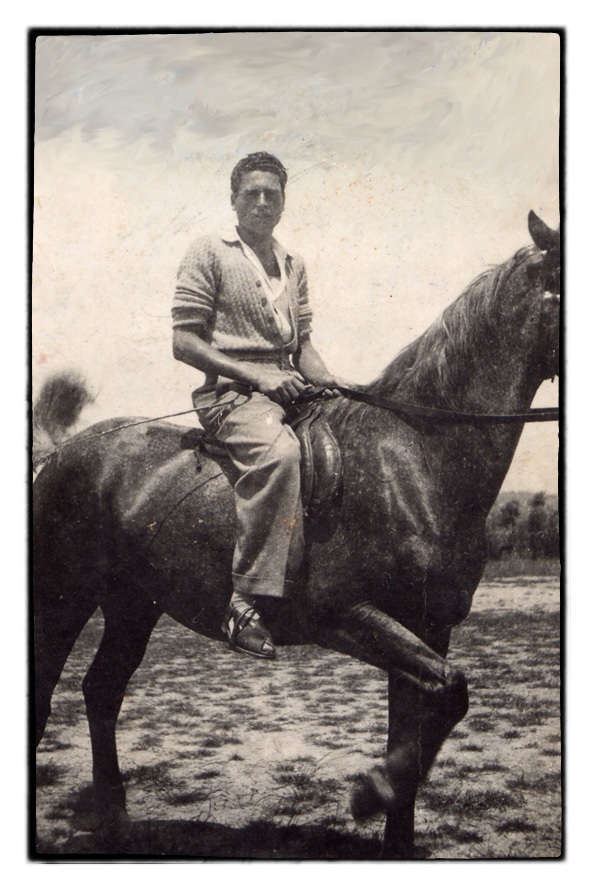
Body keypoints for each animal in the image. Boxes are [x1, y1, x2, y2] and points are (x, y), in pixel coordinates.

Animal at [33, 211, 560, 859]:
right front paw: (369, 793)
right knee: (46, 697)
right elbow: (450, 694)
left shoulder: (427, 627)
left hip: (133, 605)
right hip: (63, 600)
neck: (413, 460)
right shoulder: (346, 615)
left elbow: (425, 718)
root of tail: (62, 454)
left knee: (102, 691)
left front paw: (390, 815)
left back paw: (115, 819)